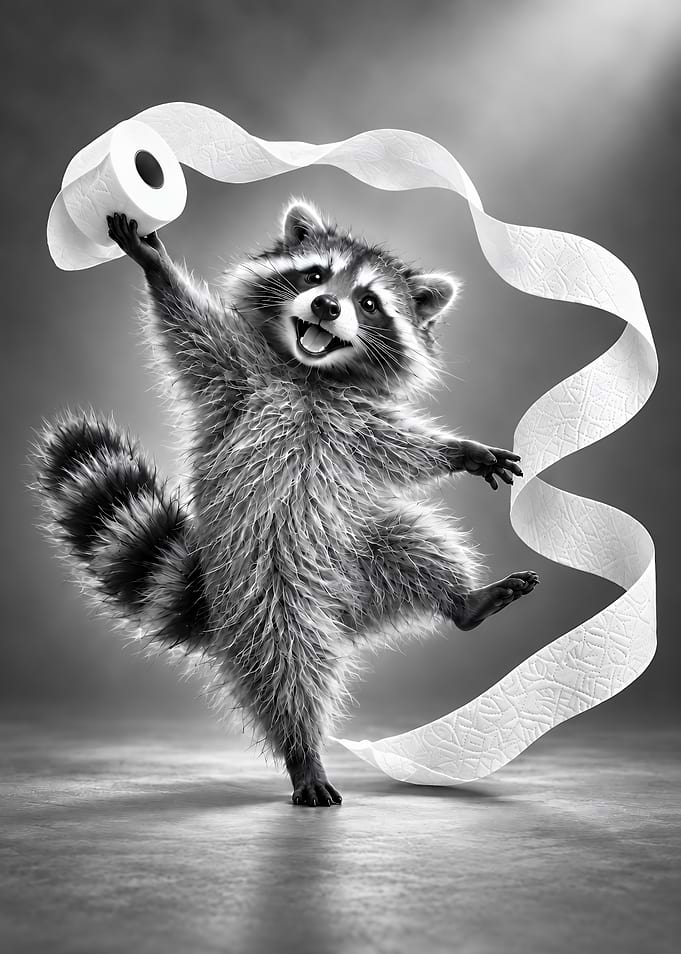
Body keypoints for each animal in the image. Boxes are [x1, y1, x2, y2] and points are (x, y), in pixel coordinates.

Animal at [33, 199, 539, 807]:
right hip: (263, 581)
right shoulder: (238, 376)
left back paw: (463, 599)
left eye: (369, 302)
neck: (310, 373)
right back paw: (302, 751)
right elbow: (189, 329)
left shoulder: (357, 424)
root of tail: (350, 613)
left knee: (415, 543)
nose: (325, 305)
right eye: (316, 274)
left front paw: (457, 451)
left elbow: (401, 450)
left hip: (361, 540)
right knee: (283, 661)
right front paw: (157, 269)